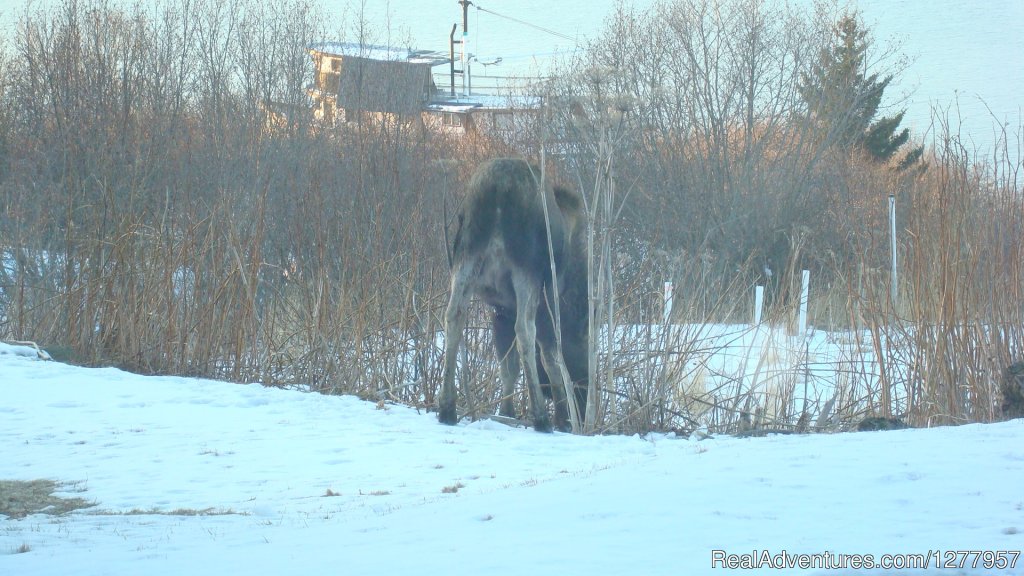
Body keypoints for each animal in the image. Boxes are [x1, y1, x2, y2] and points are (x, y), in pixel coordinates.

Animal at [436, 156, 589, 430]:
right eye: (584, 348)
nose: (584, 400)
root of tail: (499, 186)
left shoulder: (500, 309)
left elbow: (507, 366)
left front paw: (506, 412)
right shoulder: (549, 299)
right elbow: (550, 358)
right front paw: (562, 418)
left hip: (465, 257)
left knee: (453, 315)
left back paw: (447, 408)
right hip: (526, 269)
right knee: (525, 331)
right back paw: (541, 417)